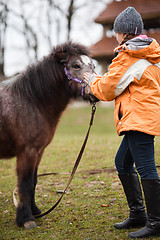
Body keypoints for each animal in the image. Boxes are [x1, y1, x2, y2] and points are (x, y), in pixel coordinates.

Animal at [0, 41, 97, 229]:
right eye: (76, 65)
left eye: (93, 65)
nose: (96, 93)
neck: (31, 101)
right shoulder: (27, 151)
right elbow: (24, 183)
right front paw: (26, 219)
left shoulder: (39, 151)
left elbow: (33, 182)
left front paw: (35, 211)